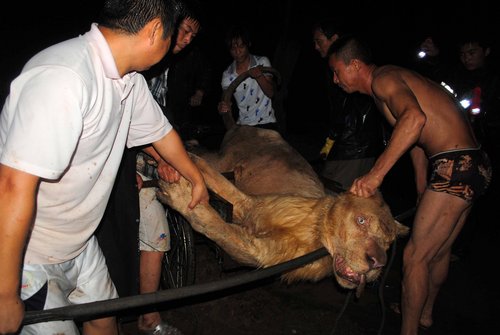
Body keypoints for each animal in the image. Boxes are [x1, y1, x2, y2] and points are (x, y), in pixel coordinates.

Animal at [157, 126, 410, 294]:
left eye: (388, 242)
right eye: (361, 221)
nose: (377, 262)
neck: (315, 235)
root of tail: (245, 126)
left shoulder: (261, 251)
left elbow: (217, 224)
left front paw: (182, 192)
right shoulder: (254, 205)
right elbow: (215, 183)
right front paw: (183, 177)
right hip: (227, 157)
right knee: (212, 158)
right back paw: (185, 145)